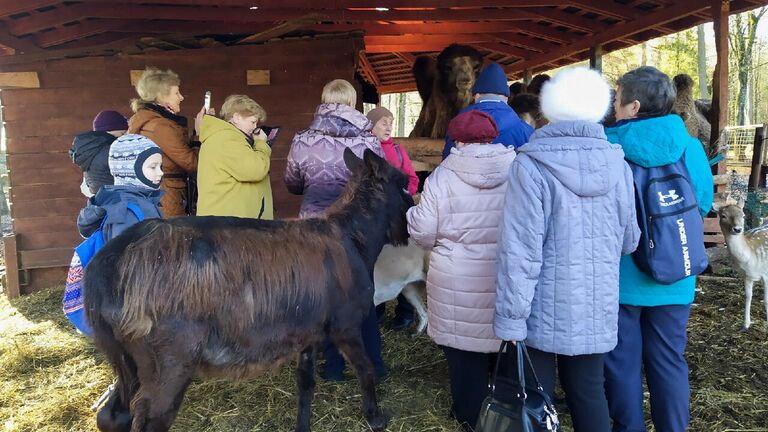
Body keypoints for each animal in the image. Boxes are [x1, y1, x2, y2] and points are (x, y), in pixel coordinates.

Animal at [84, 149, 414, 432]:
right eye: (404, 182)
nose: (411, 222)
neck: (354, 238)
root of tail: (107, 264)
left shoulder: (308, 331)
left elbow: (305, 384)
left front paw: (303, 425)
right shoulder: (345, 324)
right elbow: (365, 367)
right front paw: (375, 417)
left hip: (129, 360)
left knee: (113, 415)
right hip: (168, 361)